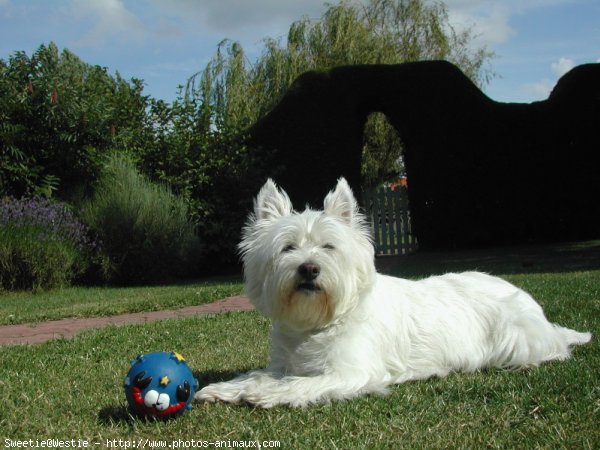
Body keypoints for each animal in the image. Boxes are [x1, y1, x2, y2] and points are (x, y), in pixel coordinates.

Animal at [197, 178, 592, 406]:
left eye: (328, 247)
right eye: (288, 248)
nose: (308, 269)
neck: (320, 322)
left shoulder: (351, 372)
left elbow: (299, 385)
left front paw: (261, 394)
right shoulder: (283, 363)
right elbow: (260, 374)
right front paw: (223, 389)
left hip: (517, 336)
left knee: (554, 349)